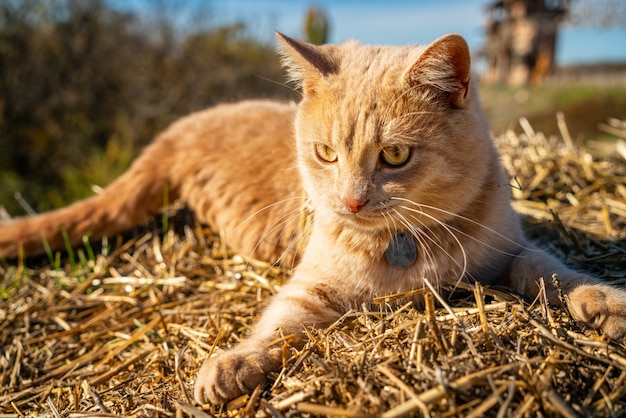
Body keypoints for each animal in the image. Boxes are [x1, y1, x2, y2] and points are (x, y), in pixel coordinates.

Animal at [1, 33, 624, 404]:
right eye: (326, 154)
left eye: (394, 156)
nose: (351, 201)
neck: (408, 244)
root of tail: (178, 127)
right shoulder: (313, 287)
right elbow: (279, 326)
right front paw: (233, 364)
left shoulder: (509, 252)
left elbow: (551, 270)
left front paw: (604, 304)